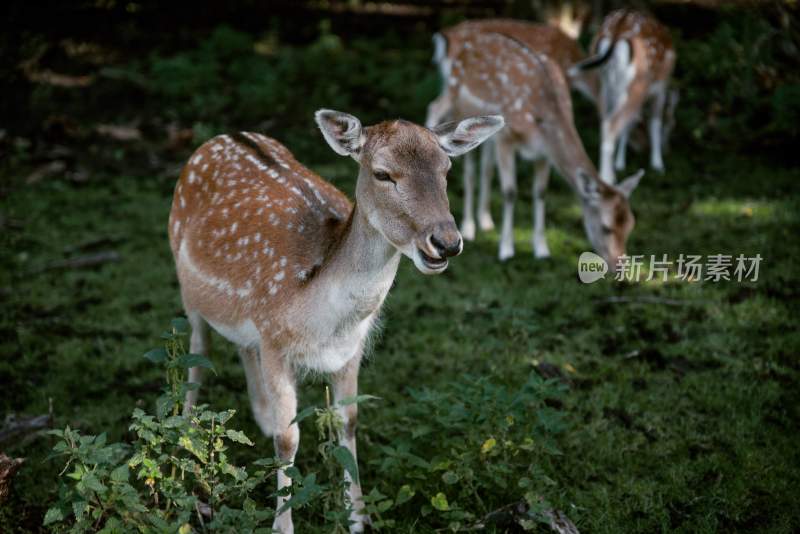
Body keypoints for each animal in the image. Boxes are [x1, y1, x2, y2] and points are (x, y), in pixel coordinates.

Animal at [169, 111, 504, 532]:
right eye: (382, 174)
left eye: (446, 169)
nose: (446, 242)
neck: (323, 322)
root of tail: (221, 137)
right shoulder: (274, 339)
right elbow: (289, 439)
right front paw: (282, 525)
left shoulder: (350, 350)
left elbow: (348, 422)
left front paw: (359, 518)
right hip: (185, 284)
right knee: (197, 355)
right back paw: (186, 434)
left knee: (241, 347)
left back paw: (262, 417)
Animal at [444, 31, 644, 266]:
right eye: (606, 228)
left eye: (630, 225)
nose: (619, 266)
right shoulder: (506, 138)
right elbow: (509, 191)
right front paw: (506, 250)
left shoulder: (544, 153)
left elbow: (540, 192)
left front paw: (541, 249)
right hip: (461, 109)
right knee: (470, 170)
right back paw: (469, 228)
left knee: (487, 167)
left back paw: (485, 221)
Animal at [572, 7, 680, 184]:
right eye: (672, 125)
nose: (669, 149)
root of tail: (618, 29)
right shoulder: (661, 88)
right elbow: (655, 123)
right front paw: (658, 165)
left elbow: (629, 124)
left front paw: (620, 163)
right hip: (637, 82)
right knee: (612, 124)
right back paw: (607, 178)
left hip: (600, 82)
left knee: (606, 121)